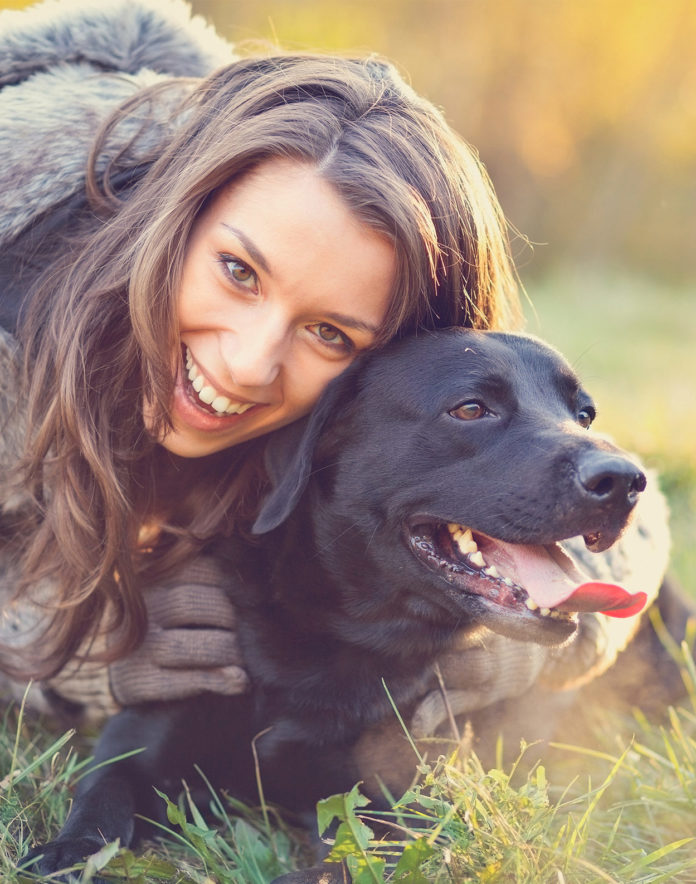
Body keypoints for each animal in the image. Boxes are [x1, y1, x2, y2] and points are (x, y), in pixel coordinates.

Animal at [28, 332, 668, 876]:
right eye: (470, 409)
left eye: (584, 415)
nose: (625, 480)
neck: (329, 635)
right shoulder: (138, 742)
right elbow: (98, 801)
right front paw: (63, 853)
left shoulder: (396, 816)